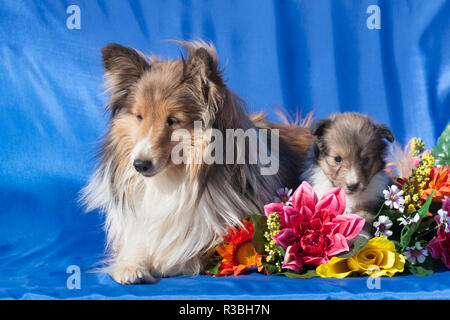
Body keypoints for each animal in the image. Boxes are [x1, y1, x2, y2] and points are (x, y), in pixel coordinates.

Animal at [80, 41, 312, 284]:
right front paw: (130, 266)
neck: (176, 178)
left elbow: (186, 252)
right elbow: (137, 244)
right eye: (139, 117)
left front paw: (162, 261)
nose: (140, 165)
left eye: (173, 120)